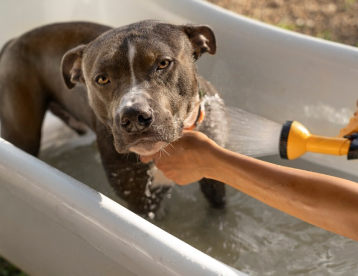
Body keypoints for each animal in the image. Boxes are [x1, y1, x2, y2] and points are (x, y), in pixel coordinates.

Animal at [0, 21, 228, 213]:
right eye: (102, 79)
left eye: (163, 63)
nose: (134, 116)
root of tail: (14, 41)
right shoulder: (140, 200)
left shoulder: (214, 180)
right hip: (24, 134)